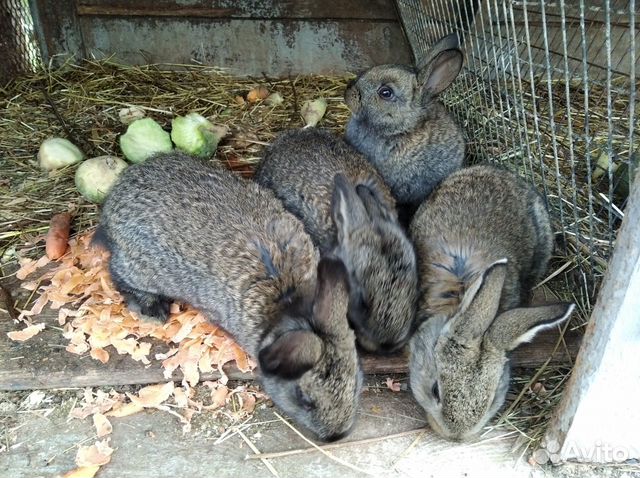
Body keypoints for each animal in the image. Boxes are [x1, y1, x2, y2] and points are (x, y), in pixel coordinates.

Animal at [95, 152, 364, 440]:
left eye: (356, 381)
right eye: (304, 399)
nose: (337, 435)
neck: (289, 300)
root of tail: (116, 196)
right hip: (141, 268)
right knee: (118, 271)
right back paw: (152, 309)